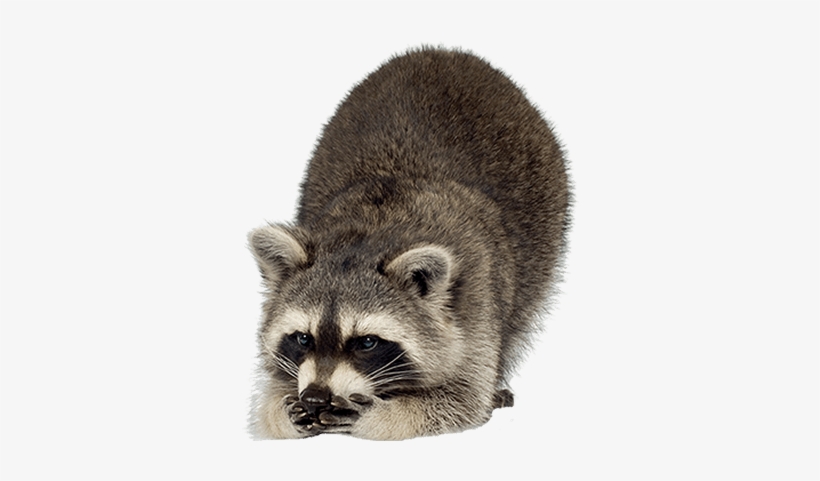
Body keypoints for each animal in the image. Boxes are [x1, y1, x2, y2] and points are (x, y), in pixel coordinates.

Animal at [248, 48, 571, 440]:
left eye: (366, 342)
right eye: (303, 338)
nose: (314, 397)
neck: (371, 233)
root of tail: (441, 52)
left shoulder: (474, 298)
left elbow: (463, 398)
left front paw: (380, 414)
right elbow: (268, 402)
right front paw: (283, 409)